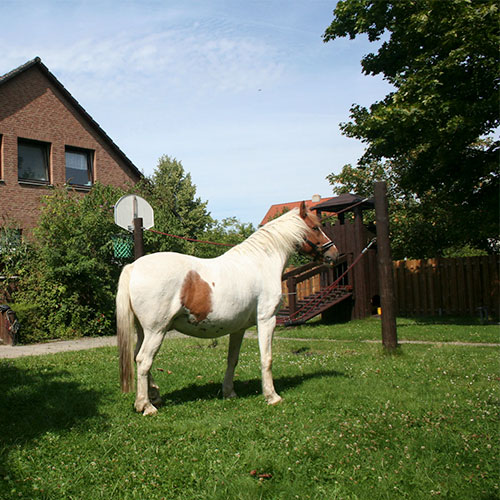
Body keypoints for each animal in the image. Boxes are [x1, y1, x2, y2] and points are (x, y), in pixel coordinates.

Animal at [116, 201, 340, 416]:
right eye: (315, 227)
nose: (334, 254)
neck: (261, 262)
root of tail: (134, 267)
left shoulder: (239, 328)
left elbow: (232, 359)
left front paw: (229, 392)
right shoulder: (267, 319)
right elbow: (266, 358)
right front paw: (272, 396)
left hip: (144, 331)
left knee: (138, 357)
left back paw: (154, 395)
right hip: (156, 331)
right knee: (144, 360)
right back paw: (146, 406)